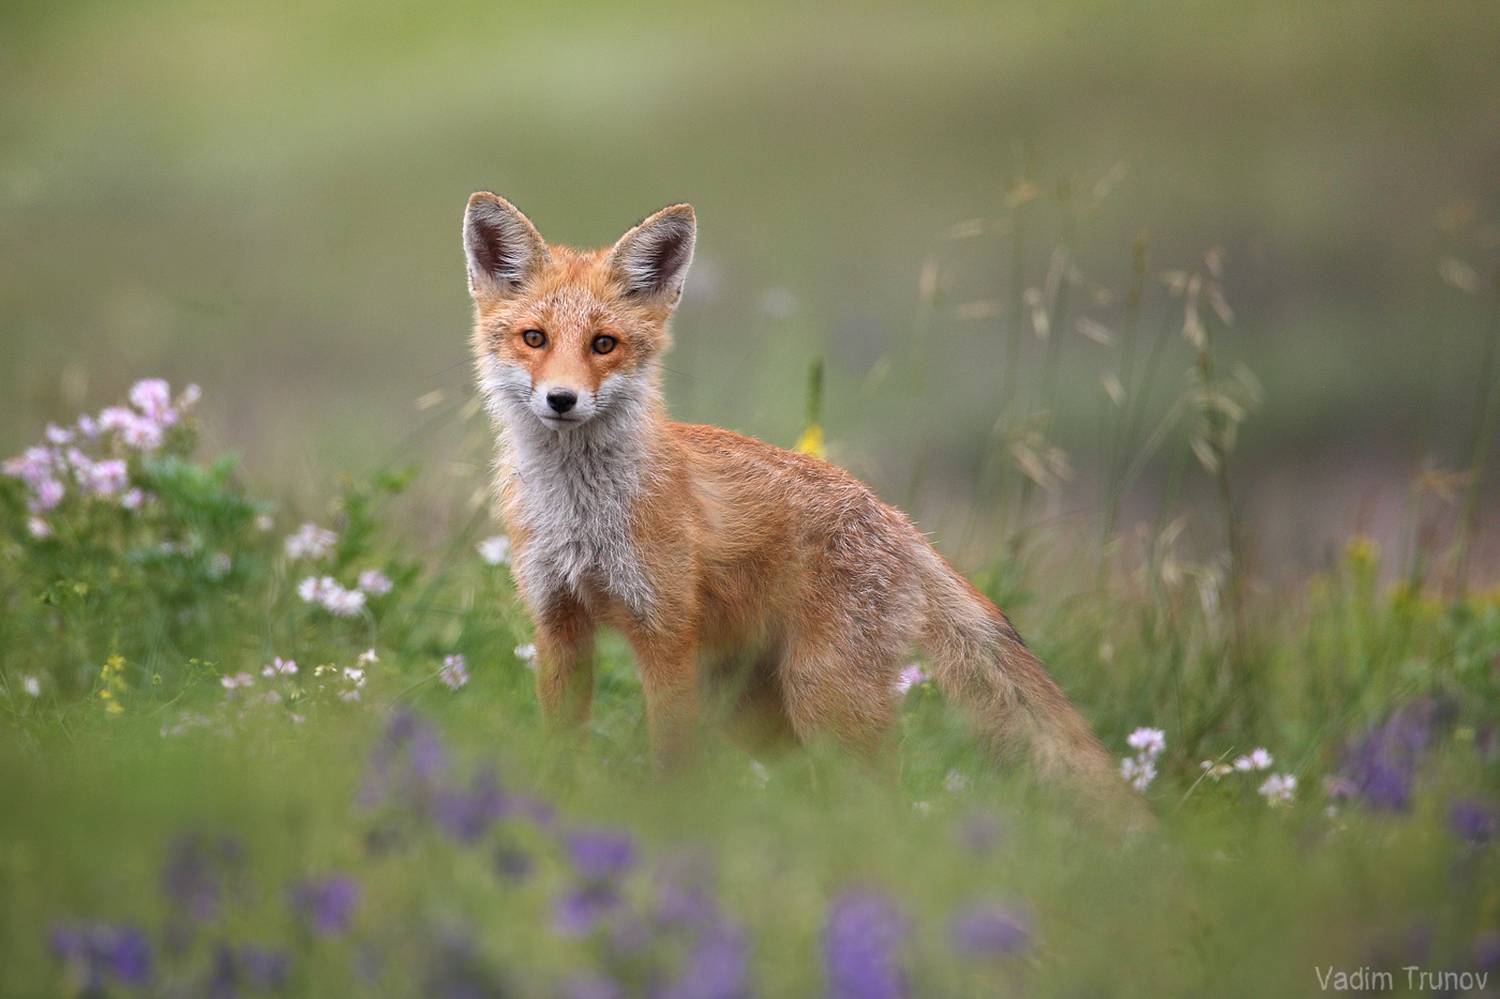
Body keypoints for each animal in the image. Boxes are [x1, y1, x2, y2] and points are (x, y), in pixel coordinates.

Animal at [462, 193, 1134, 808]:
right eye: (534, 338)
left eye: (603, 344)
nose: (561, 399)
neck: (581, 516)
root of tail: (900, 522)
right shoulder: (558, 624)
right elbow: (560, 747)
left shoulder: (663, 634)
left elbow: (672, 763)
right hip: (752, 709)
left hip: (824, 699)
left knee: (883, 802)